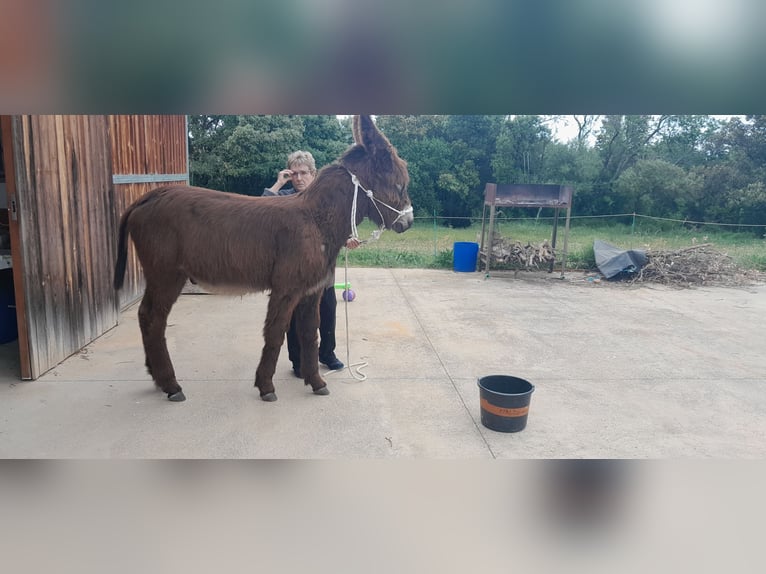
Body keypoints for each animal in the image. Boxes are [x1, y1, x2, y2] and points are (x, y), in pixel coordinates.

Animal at [113, 115, 413, 402]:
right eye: (400, 184)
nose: (408, 222)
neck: (316, 219)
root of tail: (149, 196)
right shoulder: (286, 289)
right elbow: (275, 333)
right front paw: (266, 387)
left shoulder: (311, 291)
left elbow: (310, 334)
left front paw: (316, 382)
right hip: (166, 274)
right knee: (153, 318)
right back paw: (171, 385)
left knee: (146, 316)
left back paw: (157, 378)